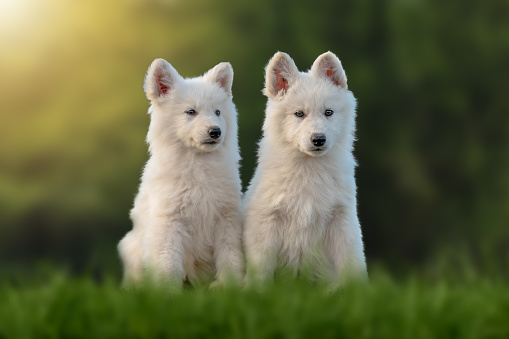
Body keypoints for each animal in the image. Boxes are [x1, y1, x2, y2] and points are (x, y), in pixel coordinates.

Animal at [120, 58, 245, 290]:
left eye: (217, 112)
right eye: (191, 112)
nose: (215, 132)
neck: (198, 166)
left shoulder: (227, 218)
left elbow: (230, 256)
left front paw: (229, 287)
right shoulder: (169, 222)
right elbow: (168, 263)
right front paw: (168, 293)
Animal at [244, 51, 368, 290]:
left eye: (328, 112)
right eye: (299, 114)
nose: (318, 139)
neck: (309, 168)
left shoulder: (342, 217)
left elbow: (351, 260)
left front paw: (355, 291)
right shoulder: (267, 219)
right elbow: (261, 264)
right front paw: (256, 291)